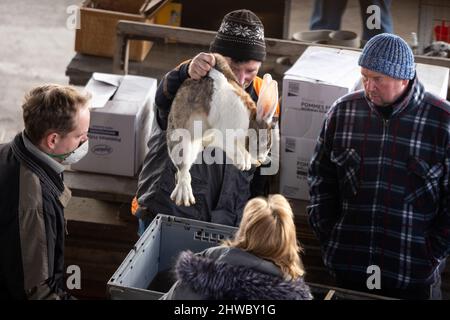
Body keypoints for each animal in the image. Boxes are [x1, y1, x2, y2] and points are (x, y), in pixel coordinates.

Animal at [166, 53, 278, 206]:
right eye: (264, 143)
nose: (261, 160)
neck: (249, 123)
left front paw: (246, 162)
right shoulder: (224, 134)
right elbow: (233, 148)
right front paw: (242, 163)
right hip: (182, 139)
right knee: (183, 169)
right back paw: (184, 197)